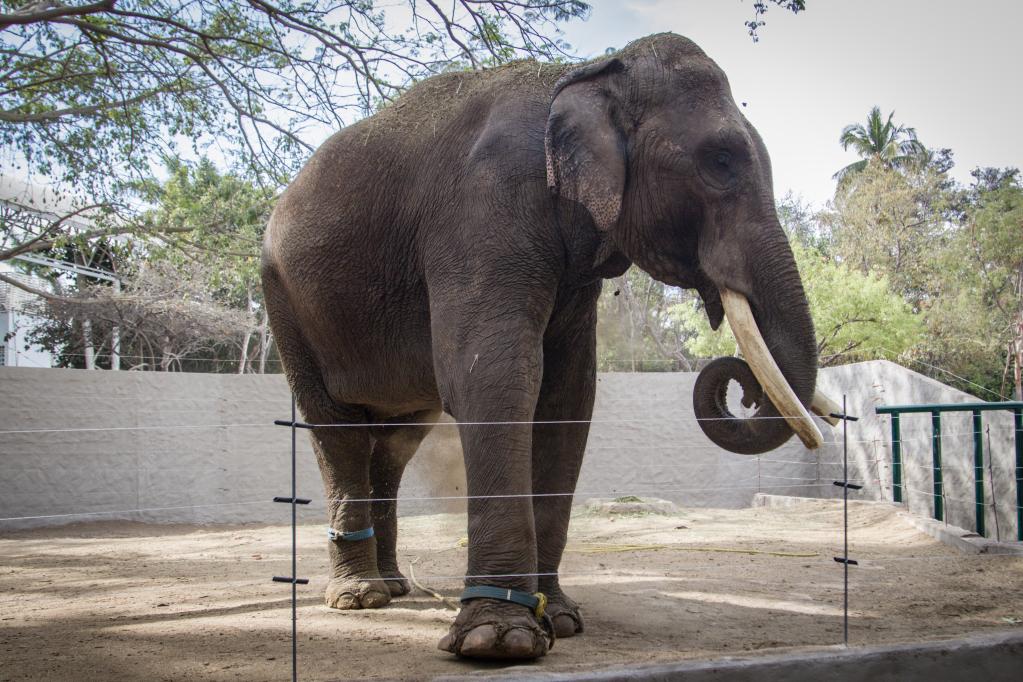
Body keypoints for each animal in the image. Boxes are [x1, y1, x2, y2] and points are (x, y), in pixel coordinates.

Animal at [259, 33, 834, 662]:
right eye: (721, 162)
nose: (745, 388)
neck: (584, 74)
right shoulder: (484, 211)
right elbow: (494, 377)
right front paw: (499, 640)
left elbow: (566, 397)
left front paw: (560, 619)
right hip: (286, 300)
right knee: (335, 428)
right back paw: (360, 598)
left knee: (396, 442)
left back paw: (393, 586)